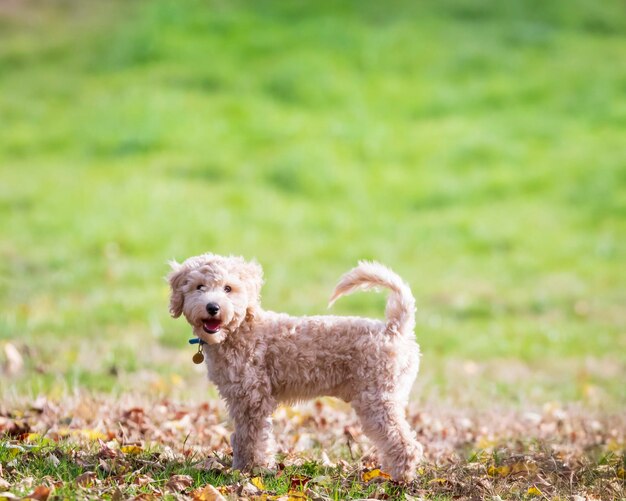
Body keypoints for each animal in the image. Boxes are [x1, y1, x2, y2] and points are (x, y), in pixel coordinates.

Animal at [166, 254, 422, 480]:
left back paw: (397, 478)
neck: (240, 330)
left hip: (377, 399)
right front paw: (241, 467)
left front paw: (253, 470)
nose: (212, 307)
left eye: (228, 288)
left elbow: (252, 437)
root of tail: (394, 328)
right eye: (199, 287)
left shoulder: (253, 398)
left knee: (405, 442)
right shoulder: (239, 399)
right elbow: (241, 437)